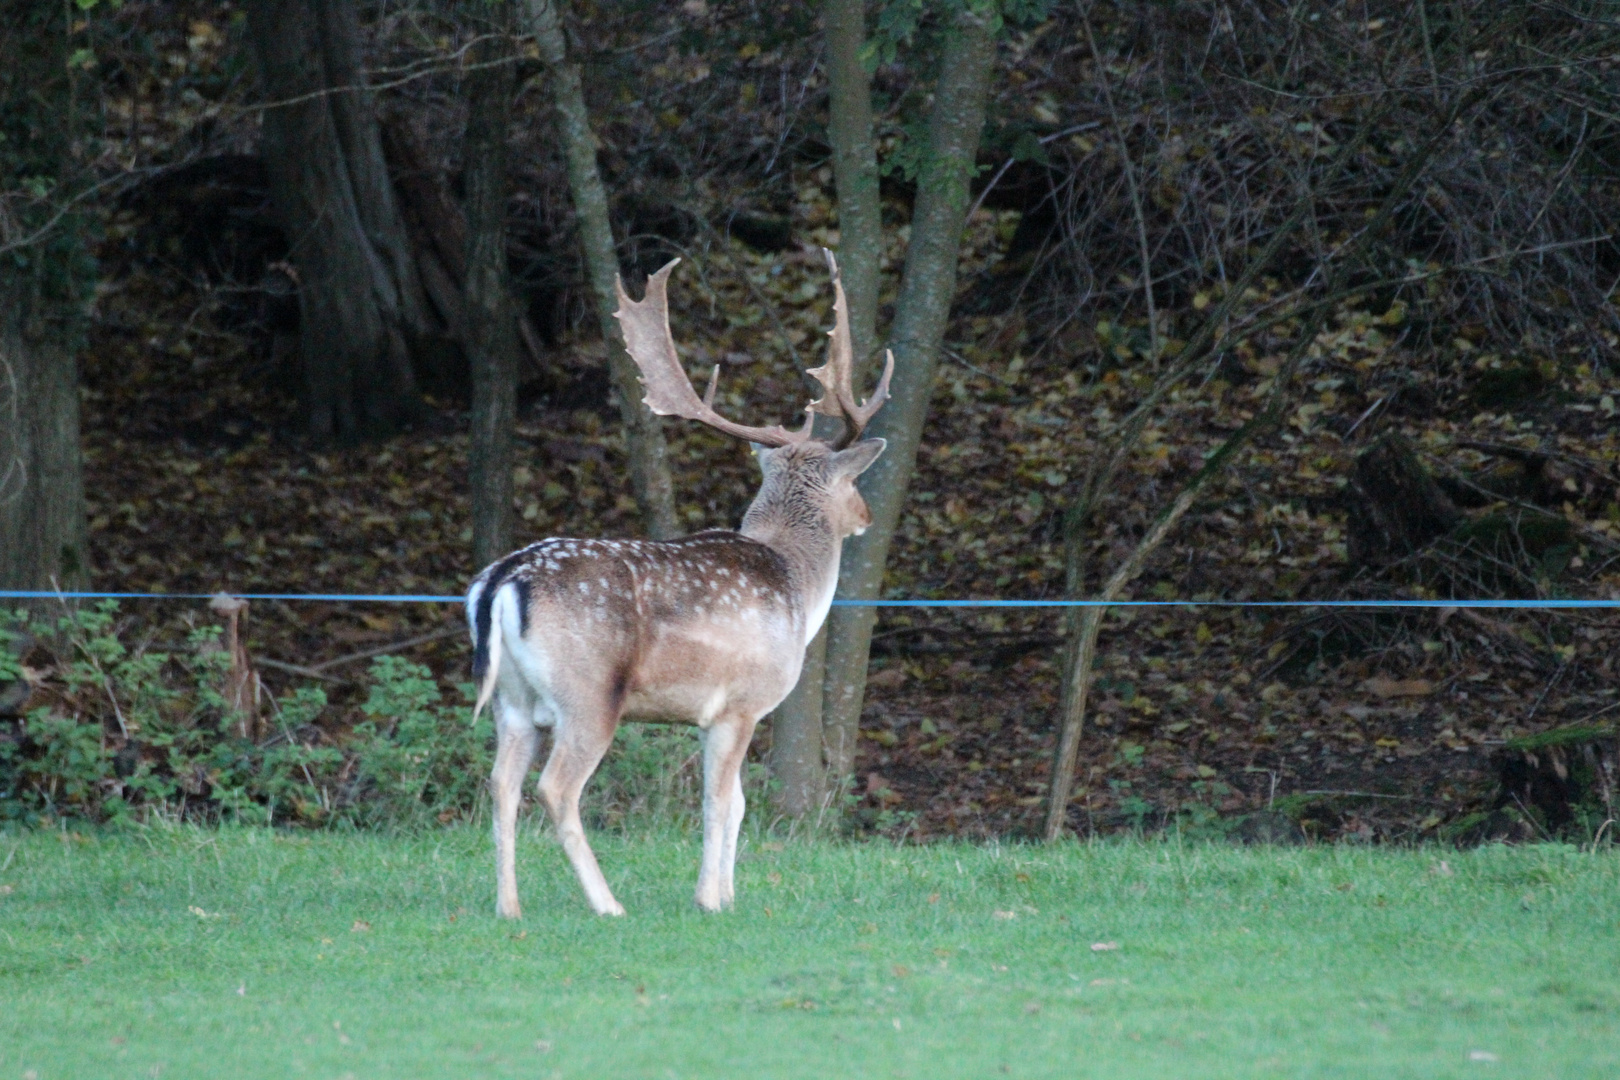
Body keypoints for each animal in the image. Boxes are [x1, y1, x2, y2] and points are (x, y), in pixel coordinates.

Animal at [469, 255, 894, 919]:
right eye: (852, 483)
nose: (866, 516)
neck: (798, 587)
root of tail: (503, 582)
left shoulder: (710, 713)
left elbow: (738, 803)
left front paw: (730, 893)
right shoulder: (741, 702)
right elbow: (720, 802)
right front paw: (712, 899)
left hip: (512, 702)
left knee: (500, 785)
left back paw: (508, 908)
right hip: (587, 694)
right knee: (555, 788)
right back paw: (607, 904)